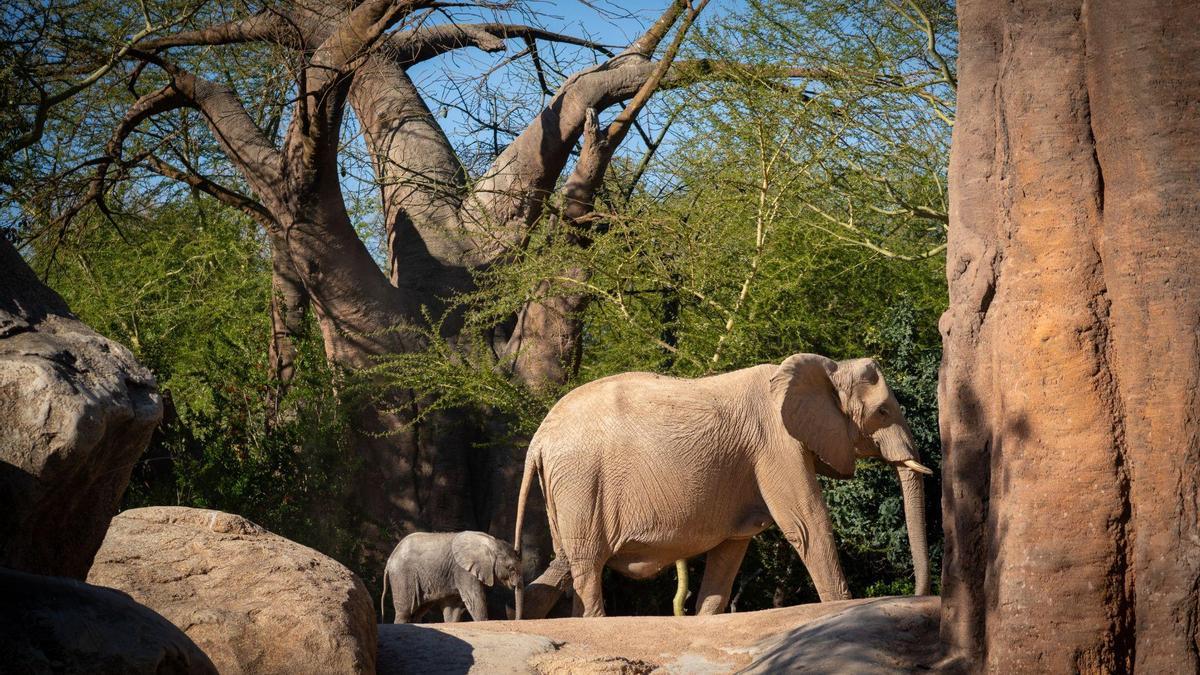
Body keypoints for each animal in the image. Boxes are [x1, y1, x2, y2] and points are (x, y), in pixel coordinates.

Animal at [379, 530, 520, 619]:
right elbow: (475, 599)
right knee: (405, 611)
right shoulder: (463, 570)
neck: (490, 542)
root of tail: (389, 560)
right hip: (402, 575)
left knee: (417, 612)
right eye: (511, 568)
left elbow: (453, 609)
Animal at [511, 353, 931, 614]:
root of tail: (539, 440)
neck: (827, 367)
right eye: (882, 412)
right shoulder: (777, 443)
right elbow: (807, 526)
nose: (917, 594)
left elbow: (732, 549)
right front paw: (840, 608)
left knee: (562, 565)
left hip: (568, 488)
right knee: (585, 565)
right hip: (580, 481)